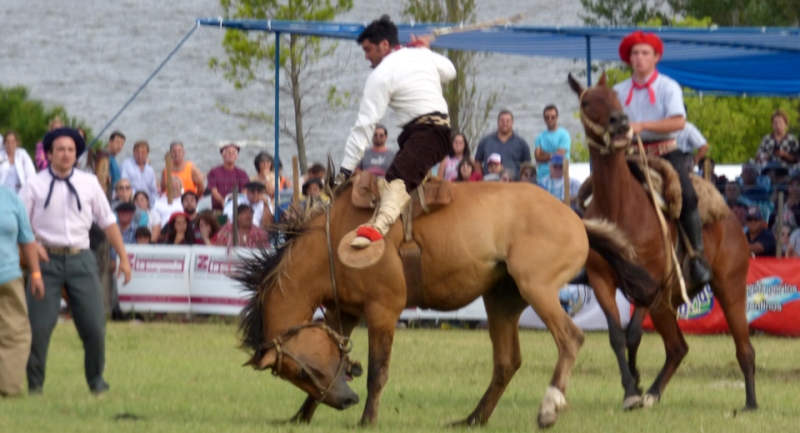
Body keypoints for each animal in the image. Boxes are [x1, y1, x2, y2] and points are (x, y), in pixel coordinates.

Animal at [233, 177, 656, 426]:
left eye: (302, 371)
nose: (346, 401)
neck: (332, 241)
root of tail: (574, 217)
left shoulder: (383, 309)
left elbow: (377, 370)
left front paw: (367, 419)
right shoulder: (344, 310)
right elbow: (339, 355)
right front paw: (300, 416)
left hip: (537, 286)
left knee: (570, 337)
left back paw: (548, 407)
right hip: (501, 300)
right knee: (507, 361)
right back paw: (473, 419)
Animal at [568, 72, 756, 410]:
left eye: (615, 97)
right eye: (587, 102)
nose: (620, 122)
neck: (620, 205)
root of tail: (732, 220)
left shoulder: (652, 285)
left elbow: (632, 334)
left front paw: (635, 383)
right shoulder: (603, 280)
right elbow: (617, 335)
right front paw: (632, 388)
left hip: (729, 288)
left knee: (743, 347)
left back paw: (750, 403)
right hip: (668, 302)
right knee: (678, 347)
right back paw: (653, 393)